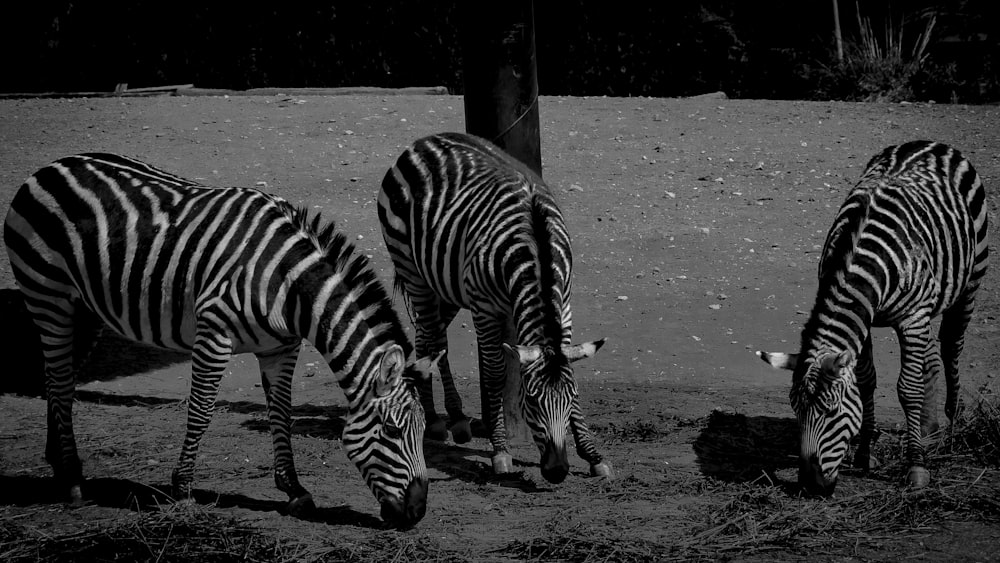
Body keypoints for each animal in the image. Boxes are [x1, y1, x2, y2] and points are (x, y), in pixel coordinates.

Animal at [3, 152, 436, 528]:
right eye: (392, 431)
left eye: (424, 432)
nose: (417, 513)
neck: (289, 283)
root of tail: (52, 165)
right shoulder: (214, 334)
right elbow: (201, 410)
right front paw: (182, 489)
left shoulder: (281, 348)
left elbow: (282, 413)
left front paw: (294, 491)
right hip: (48, 296)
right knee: (59, 377)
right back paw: (73, 482)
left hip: (85, 310)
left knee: (60, 382)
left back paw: (59, 464)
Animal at [376, 132, 608, 484]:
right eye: (531, 402)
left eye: (569, 401)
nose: (557, 472)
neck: (537, 252)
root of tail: (423, 141)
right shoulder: (484, 307)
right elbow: (495, 373)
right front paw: (501, 451)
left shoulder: (564, 304)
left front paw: (592, 453)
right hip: (412, 270)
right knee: (435, 338)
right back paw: (443, 419)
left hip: (445, 283)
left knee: (427, 338)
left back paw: (445, 416)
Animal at [760, 140, 988, 494]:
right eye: (795, 411)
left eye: (831, 412)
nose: (810, 486)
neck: (859, 258)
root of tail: (927, 143)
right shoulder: (863, 320)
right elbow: (867, 381)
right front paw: (866, 453)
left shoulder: (912, 318)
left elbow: (908, 389)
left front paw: (917, 467)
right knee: (931, 359)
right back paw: (929, 429)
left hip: (972, 276)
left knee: (952, 345)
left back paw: (951, 425)